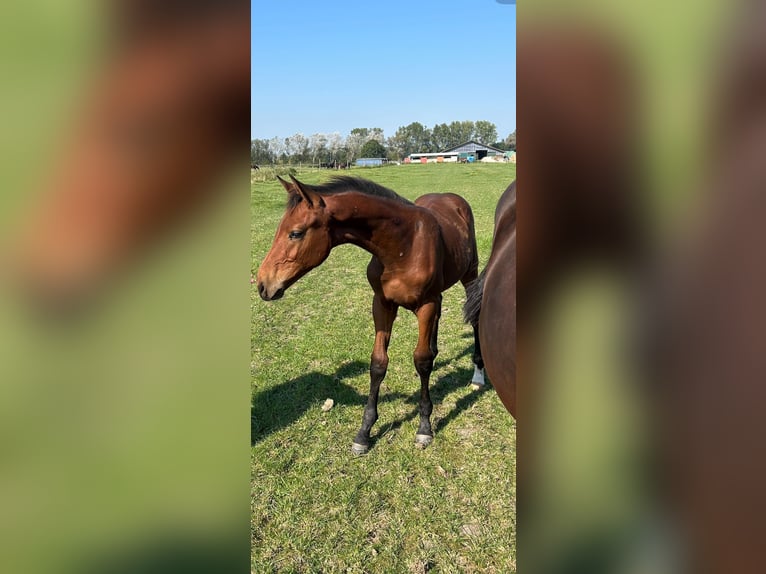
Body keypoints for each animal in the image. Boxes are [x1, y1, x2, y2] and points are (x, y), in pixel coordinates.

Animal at [258, 176, 486, 454]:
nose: (263, 284)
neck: (404, 246)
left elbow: (421, 361)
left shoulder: (426, 305)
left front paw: (424, 428)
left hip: (469, 273)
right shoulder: (382, 304)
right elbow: (378, 363)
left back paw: (478, 374)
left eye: (296, 233)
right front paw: (364, 432)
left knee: (474, 316)